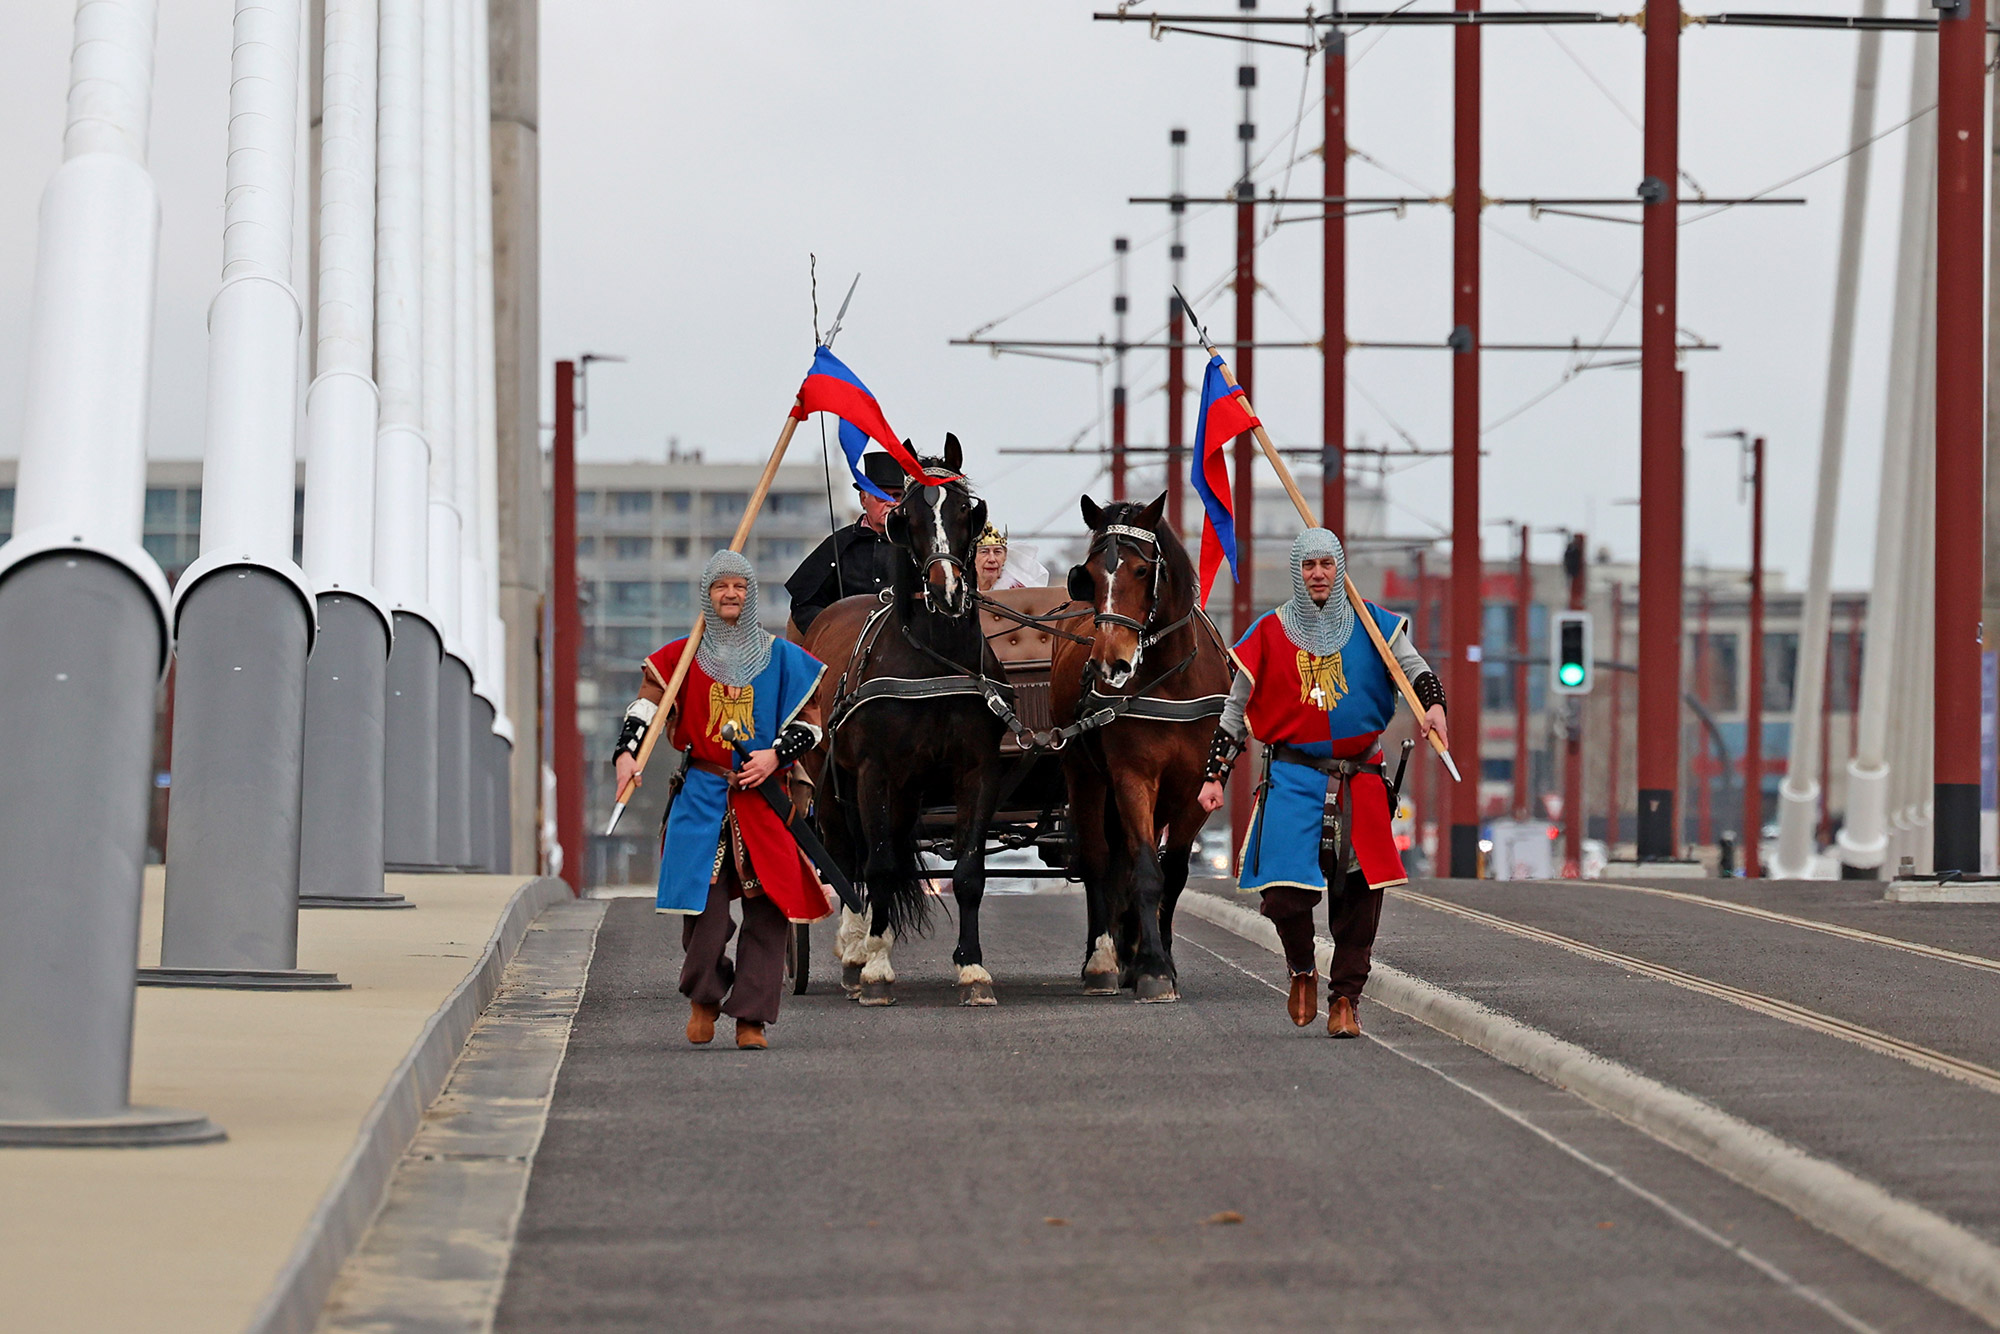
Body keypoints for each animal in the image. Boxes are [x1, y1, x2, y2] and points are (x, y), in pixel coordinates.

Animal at [800, 440, 1016, 1012]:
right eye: (910, 514)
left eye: (964, 509)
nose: (947, 590)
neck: (933, 659)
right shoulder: (874, 772)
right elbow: (875, 868)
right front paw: (875, 968)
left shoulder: (978, 771)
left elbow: (968, 873)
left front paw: (973, 969)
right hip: (834, 785)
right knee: (850, 859)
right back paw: (856, 952)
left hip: (907, 791)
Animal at [1048, 498, 1232, 1000]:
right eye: (1090, 573)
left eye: (1141, 569)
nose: (1110, 664)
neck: (1172, 681)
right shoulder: (1133, 776)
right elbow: (1146, 870)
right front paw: (1151, 966)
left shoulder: (1196, 788)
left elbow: (1174, 874)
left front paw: (1157, 957)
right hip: (1085, 776)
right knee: (1099, 859)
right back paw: (1103, 960)